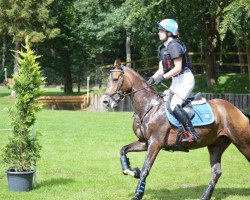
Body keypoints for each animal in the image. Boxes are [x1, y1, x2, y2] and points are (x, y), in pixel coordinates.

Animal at [102, 61, 250, 200]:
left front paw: (138, 194)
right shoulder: (144, 142)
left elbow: (145, 169)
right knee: (216, 172)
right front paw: (131, 170)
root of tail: (237, 110)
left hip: (242, 142)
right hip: (216, 145)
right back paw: (204, 196)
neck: (149, 107)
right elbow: (123, 150)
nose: (105, 101)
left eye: (115, 79)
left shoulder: (155, 143)